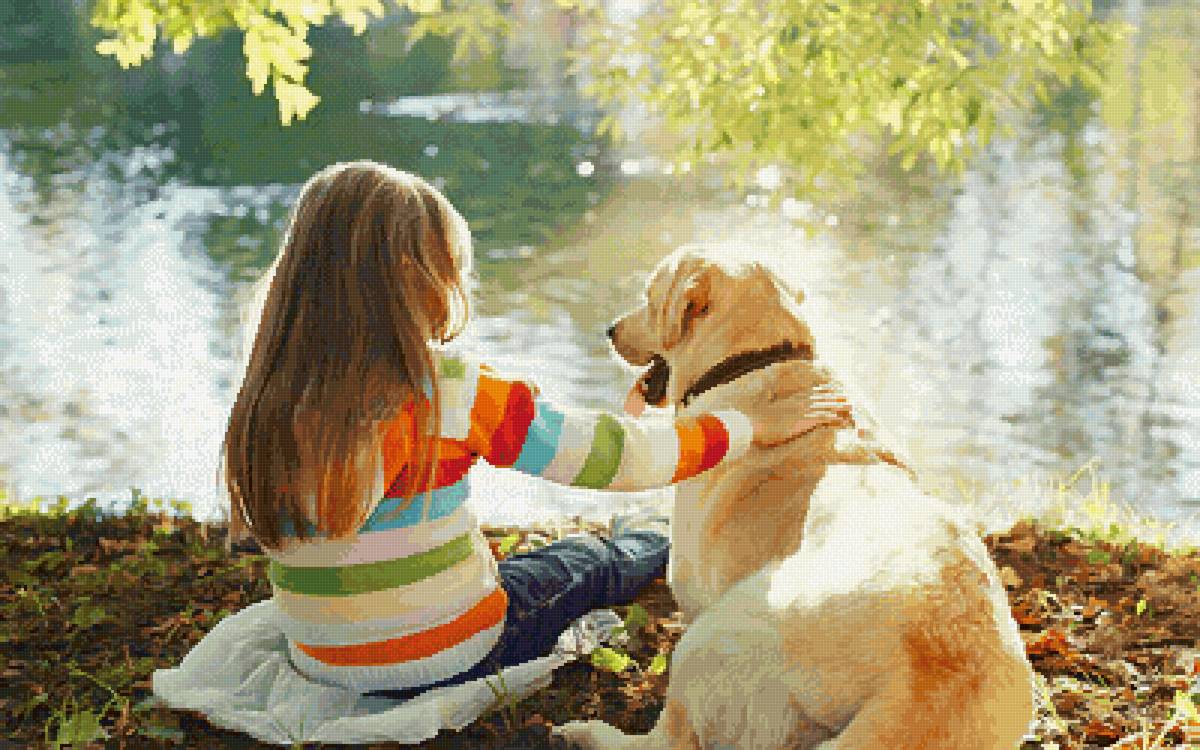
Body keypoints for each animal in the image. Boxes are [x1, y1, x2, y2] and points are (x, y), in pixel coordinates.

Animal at [554, 246, 1034, 749]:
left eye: (649, 298)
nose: (610, 330)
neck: (759, 360)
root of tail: (919, 697)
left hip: (714, 634)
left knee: (669, 738)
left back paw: (590, 732)